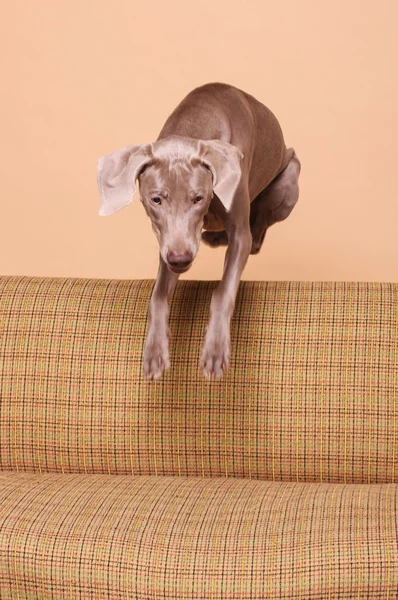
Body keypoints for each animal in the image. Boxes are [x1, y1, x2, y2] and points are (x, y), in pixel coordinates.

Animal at [98, 81, 300, 380]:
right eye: (156, 199)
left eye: (198, 198)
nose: (181, 259)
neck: (194, 123)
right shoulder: (168, 243)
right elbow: (157, 298)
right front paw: (155, 352)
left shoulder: (238, 234)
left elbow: (222, 292)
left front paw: (215, 351)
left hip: (287, 184)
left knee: (260, 222)